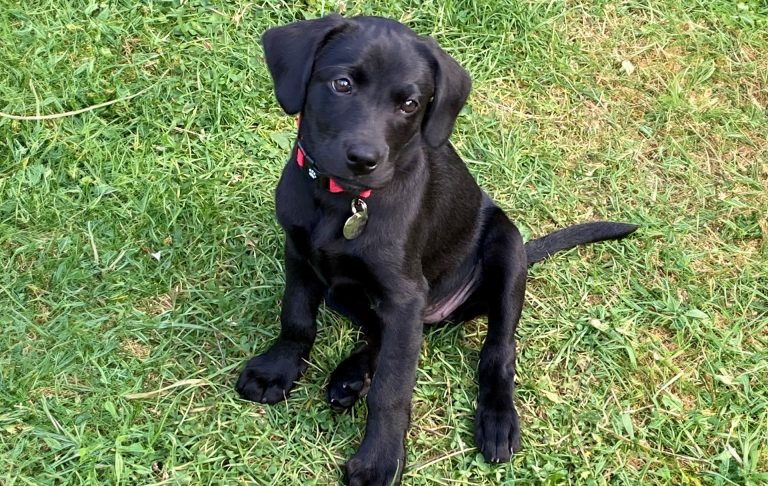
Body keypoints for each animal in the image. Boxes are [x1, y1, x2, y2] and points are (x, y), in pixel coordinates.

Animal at [237, 15, 640, 486]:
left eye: (410, 104)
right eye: (342, 84)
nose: (365, 159)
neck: (344, 200)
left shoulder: (404, 294)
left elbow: (393, 388)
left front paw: (379, 460)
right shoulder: (300, 254)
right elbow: (297, 319)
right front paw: (277, 370)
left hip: (506, 250)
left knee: (497, 351)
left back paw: (496, 417)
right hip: (349, 294)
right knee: (380, 335)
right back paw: (350, 377)